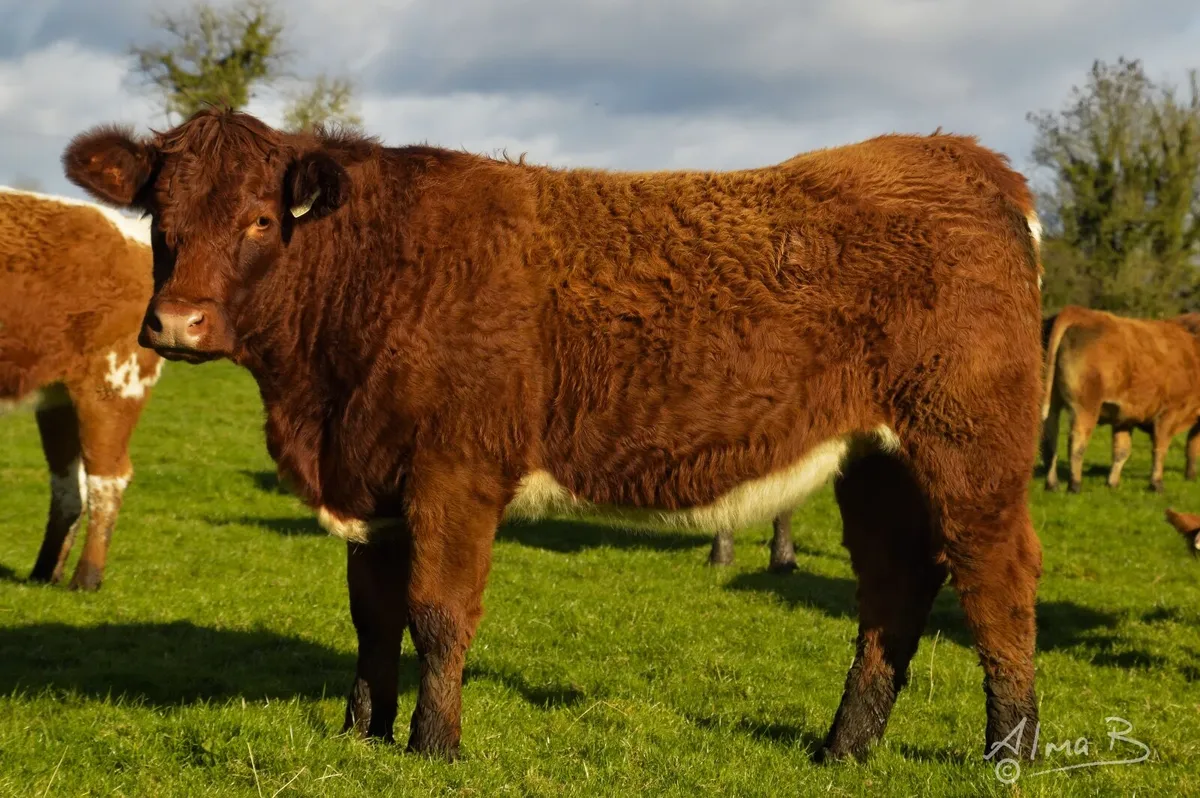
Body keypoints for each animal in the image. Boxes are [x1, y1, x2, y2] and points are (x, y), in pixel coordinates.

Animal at [0, 186, 161, 590]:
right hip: (57, 397)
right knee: (69, 485)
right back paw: (44, 572)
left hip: (112, 386)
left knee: (108, 479)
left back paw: (86, 578)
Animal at [63, 109, 1046, 764]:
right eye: (160, 217)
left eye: (261, 219)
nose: (177, 323)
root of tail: (950, 152)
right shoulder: (371, 480)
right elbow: (373, 614)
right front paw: (361, 734)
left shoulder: (454, 473)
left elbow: (438, 612)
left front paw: (434, 746)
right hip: (875, 460)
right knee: (893, 590)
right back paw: (843, 748)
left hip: (969, 448)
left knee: (997, 578)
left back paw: (1009, 752)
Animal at [1041, 305, 1200, 493]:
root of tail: (1078, 312)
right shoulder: (1168, 414)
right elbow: (1160, 449)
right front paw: (1157, 483)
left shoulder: (1124, 417)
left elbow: (1122, 450)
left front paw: (1113, 483)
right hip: (1085, 407)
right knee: (1077, 442)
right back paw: (1075, 484)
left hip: (1052, 404)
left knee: (1049, 441)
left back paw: (1052, 484)